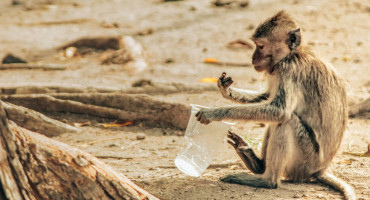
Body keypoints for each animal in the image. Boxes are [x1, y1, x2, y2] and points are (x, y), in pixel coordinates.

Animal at [197, 10, 356, 200]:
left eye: (261, 46)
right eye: (255, 45)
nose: (253, 57)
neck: (292, 54)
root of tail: (320, 170)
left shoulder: (288, 69)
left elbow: (280, 111)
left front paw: (213, 113)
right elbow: (267, 98)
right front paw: (227, 91)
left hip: (304, 162)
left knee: (287, 122)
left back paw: (267, 180)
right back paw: (256, 164)